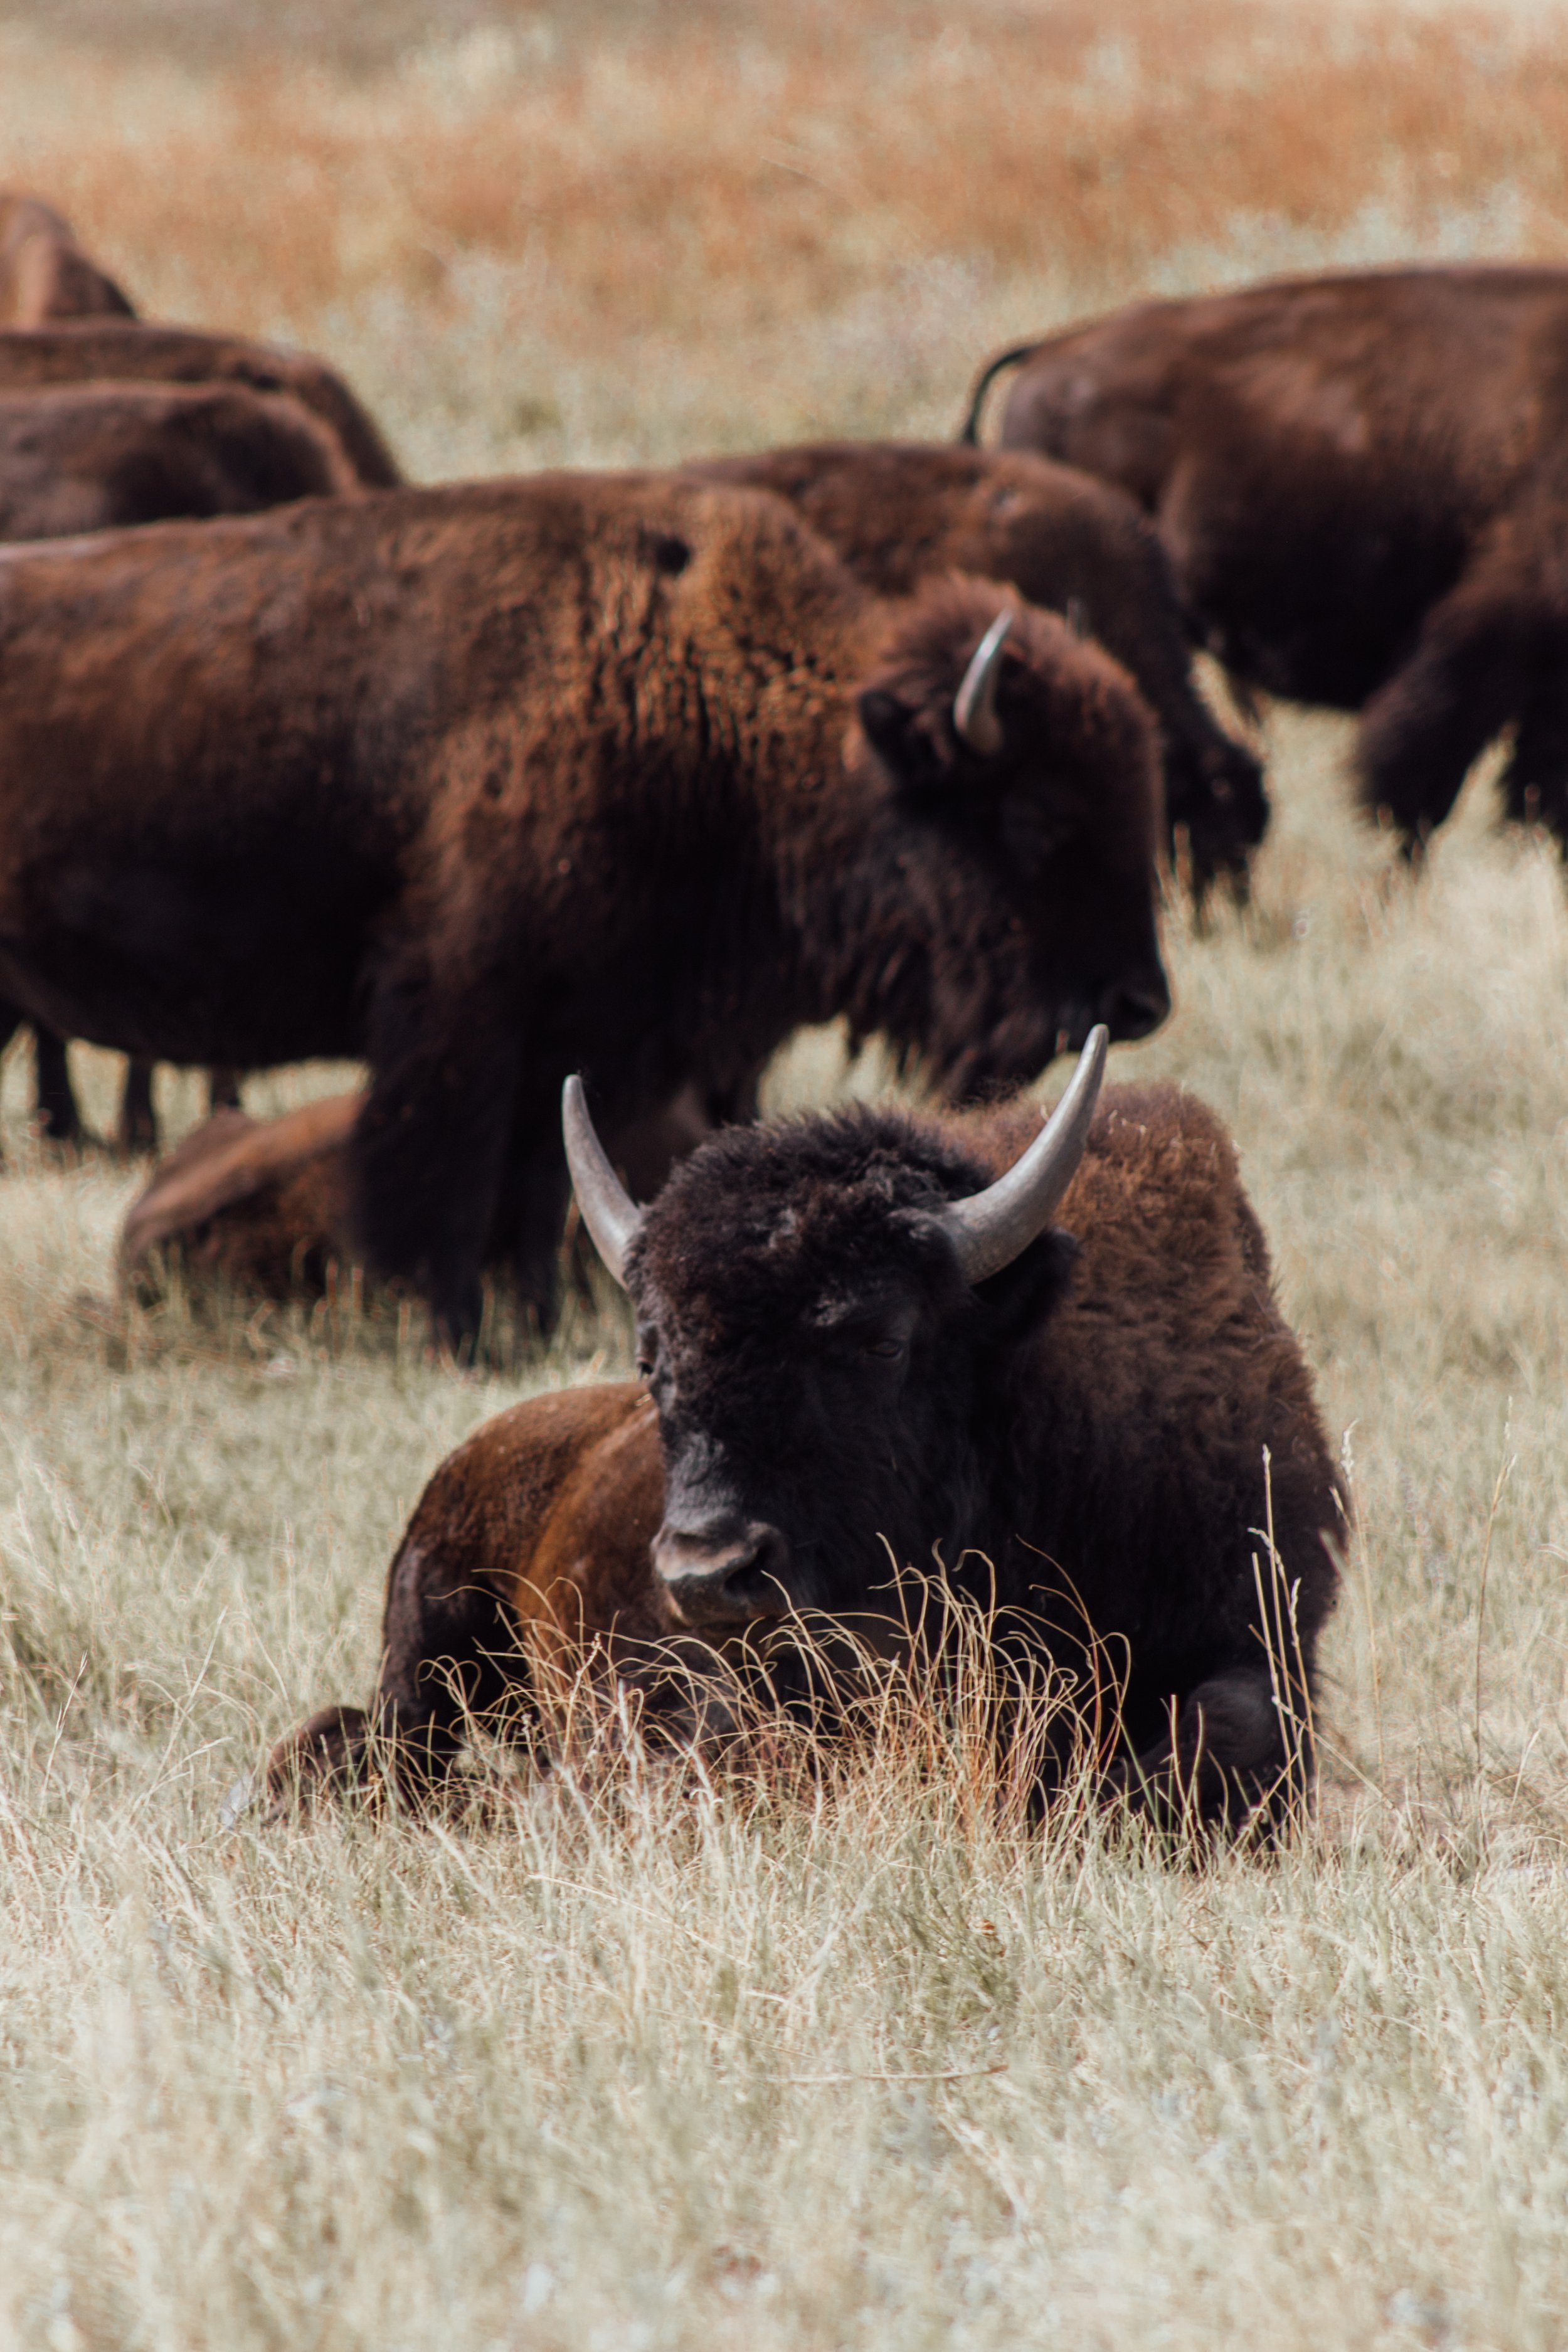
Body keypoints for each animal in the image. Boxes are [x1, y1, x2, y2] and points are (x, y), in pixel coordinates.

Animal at [0, 472, 1170, 1345]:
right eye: (1033, 816)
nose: (1141, 999)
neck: (707, 712)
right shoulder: (461, 1016)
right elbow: (443, 1186)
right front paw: (450, 1332)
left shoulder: (585, 1029)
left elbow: (535, 1189)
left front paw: (532, 1322)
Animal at [263, 1035, 1344, 1835]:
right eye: (653, 1353)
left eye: (879, 1336)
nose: (706, 1569)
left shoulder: (1262, 1627)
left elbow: (1217, 1729)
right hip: (432, 1631)